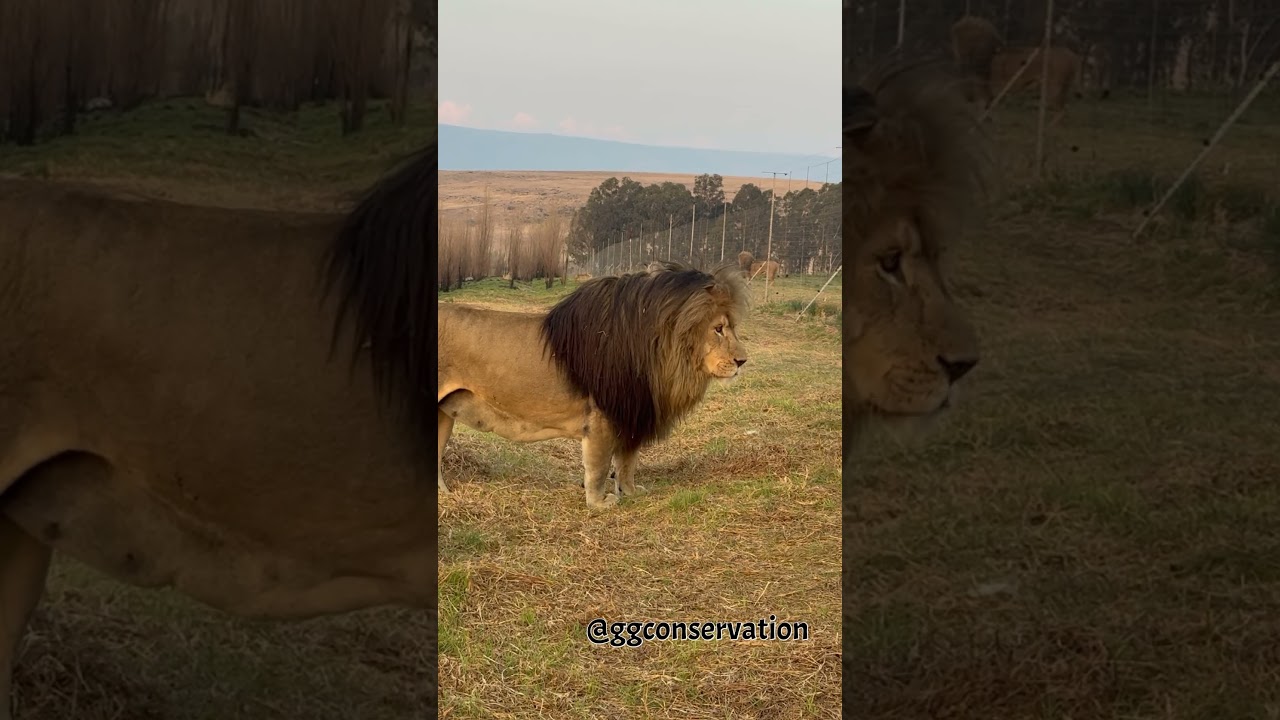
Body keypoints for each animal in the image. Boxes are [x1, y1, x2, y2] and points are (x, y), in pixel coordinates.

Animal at [437, 261, 748, 509]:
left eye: (731, 327)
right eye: (718, 328)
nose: (743, 360)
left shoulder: (631, 415)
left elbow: (627, 463)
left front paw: (631, 492)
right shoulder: (602, 417)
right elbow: (599, 467)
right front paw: (600, 503)